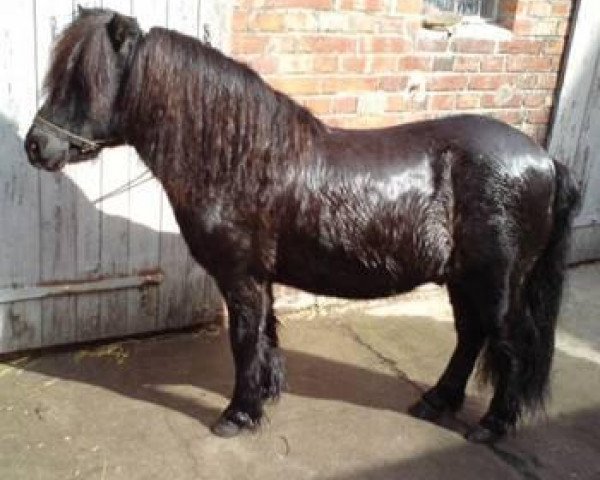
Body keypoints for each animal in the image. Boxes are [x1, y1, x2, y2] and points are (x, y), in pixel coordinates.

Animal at [25, 9, 580, 442]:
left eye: (85, 81)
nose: (35, 145)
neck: (243, 160)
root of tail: (545, 161)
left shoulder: (241, 277)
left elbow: (244, 339)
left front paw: (238, 413)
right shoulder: (260, 278)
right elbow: (266, 335)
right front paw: (265, 395)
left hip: (497, 283)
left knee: (508, 344)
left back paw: (493, 424)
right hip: (464, 280)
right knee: (470, 337)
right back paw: (436, 401)